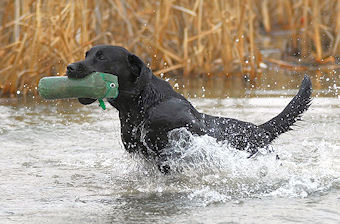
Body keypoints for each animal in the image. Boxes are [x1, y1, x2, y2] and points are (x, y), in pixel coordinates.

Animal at [65, 44, 312, 172]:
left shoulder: (187, 126)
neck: (140, 105)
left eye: (101, 57)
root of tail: (260, 129)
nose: (70, 67)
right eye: (87, 54)